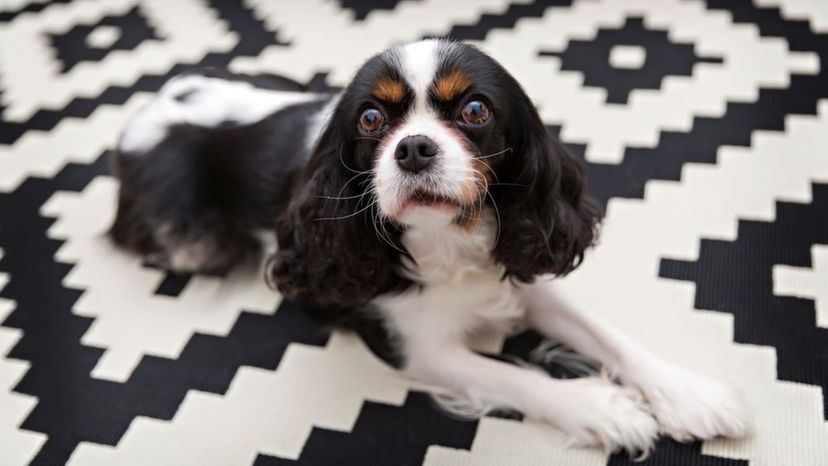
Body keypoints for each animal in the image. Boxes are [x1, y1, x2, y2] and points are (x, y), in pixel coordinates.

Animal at [110, 38, 752, 454]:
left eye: (475, 110)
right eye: (371, 119)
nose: (414, 147)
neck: (449, 239)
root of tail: (148, 106)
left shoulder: (518, 271)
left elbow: (605, 335)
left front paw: (689, 394)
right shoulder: (418, 348)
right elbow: (516, 377)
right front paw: (602, 409)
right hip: (189, 234)